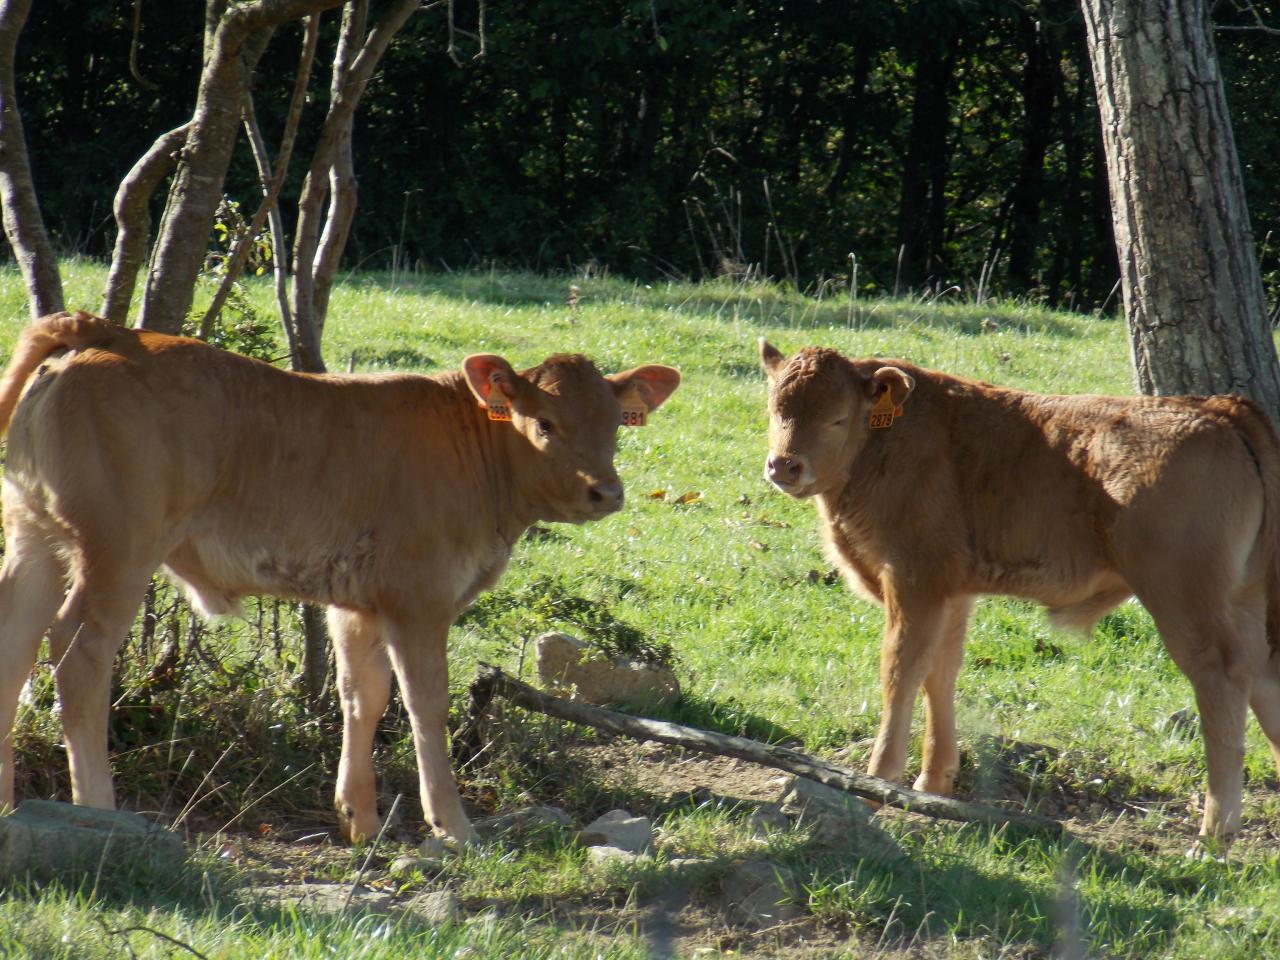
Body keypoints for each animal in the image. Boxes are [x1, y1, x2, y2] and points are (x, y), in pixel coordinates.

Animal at [0, 313, 680, 839]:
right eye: (544, 423)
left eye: (616, 424)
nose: (606, 492)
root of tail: (111, 331)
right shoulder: (419, 599)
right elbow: (425, 703)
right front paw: (453, 827)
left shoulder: (358, 604)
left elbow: (364, 694)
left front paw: (362, 820)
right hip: (118, 550)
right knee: (79, 653)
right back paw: (99, 809)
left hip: (36, 536)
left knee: (15, 645)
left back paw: (9, 805)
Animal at [757, 340, 1280, 849]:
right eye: (775, 409)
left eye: (837, 418)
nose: (784, 465)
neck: (887, 439)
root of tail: (1217, 408)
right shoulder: (951, 592)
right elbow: (939, 672)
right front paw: (933, 783)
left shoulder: (913, 581)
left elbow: (900, 672)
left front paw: (875, 785)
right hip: (1243, 598)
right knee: (1263, 674)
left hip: (1184, 598)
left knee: (1223, 678)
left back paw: (1214, 834)